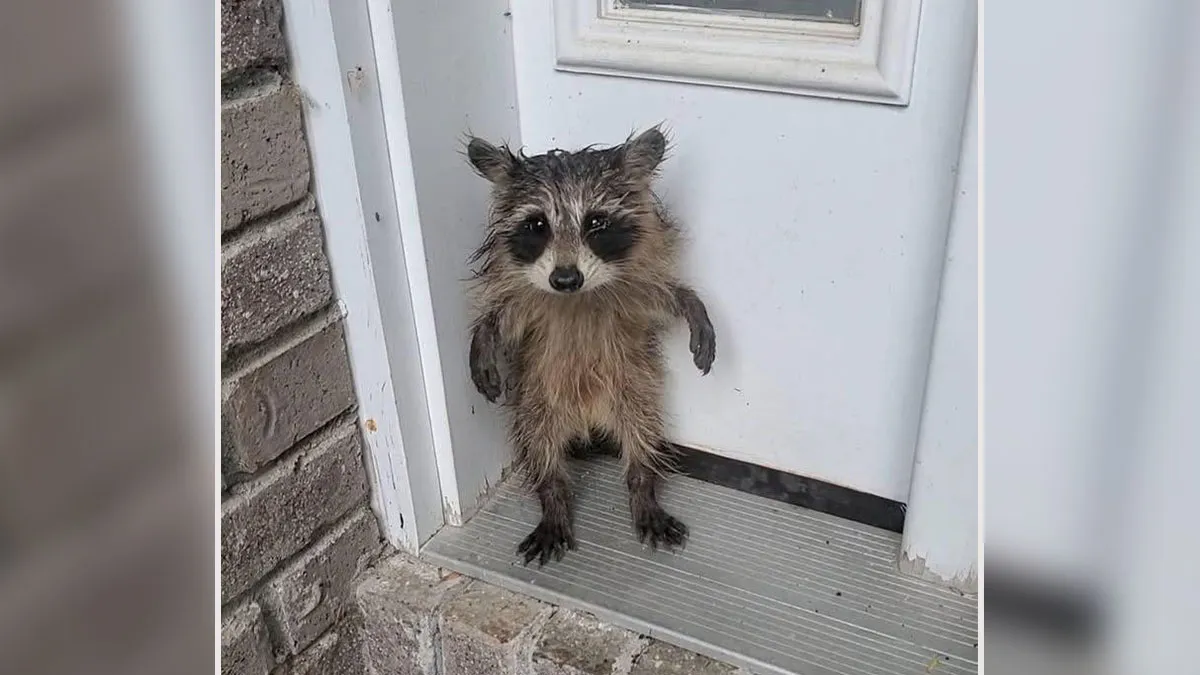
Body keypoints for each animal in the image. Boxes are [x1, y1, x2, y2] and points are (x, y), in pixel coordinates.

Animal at [464, 127, 716, 566]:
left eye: (596, 222)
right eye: (537, 224)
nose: (565, 279)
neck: (577, 298)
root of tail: (588, 419)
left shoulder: (632, 293)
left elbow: (664, 297)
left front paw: (691, 304)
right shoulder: (529, 301)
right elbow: (503, 317)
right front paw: (483, 336)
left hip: (633, 385)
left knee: (642, 431)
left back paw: (642, 484)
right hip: (538, 395)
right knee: (538, 441)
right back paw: (553, 496)